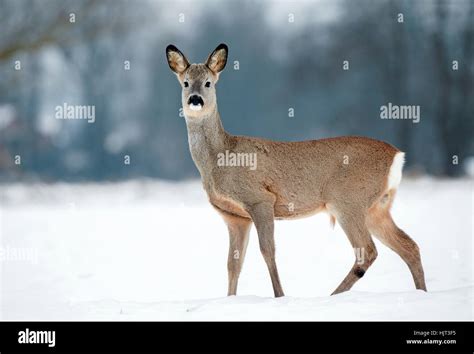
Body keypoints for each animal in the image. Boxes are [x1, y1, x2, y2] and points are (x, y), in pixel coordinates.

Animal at [166, 42, 426, 298]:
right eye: (185, 83)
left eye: (208, 83)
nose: (195, 99)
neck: (220, 157)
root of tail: (397, 156)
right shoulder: (234, 216)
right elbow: (233, 263)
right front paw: (231, 299)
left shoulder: (260, 199)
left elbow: (267, 251)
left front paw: (280, 296)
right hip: (376, 207)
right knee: (409, 246)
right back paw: (420, 292)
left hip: (347, 199)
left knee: (368, 251)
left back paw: (333, 295)